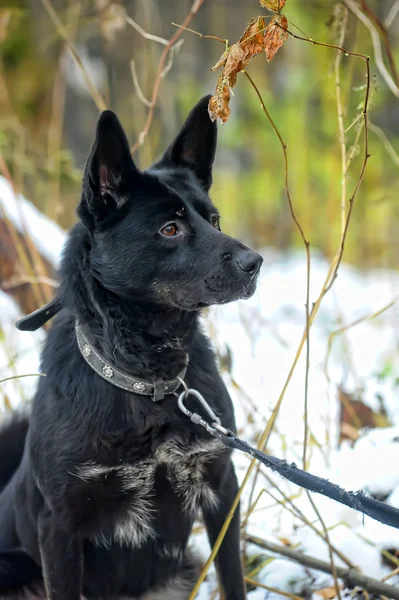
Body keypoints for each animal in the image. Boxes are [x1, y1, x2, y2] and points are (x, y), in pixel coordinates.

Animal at [0, 96, 262, 596]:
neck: (147, 378)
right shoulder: (58, 525)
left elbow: (233, 580)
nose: (255, 262)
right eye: (169, 229)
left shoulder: (222, 492)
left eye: (213, 219)